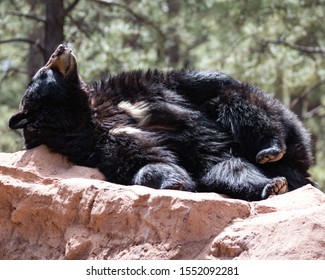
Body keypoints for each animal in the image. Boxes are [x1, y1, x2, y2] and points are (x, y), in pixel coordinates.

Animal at [8, 44, 316, 200]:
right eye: (43, 70)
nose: (62, 46)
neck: (86, 112)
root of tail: (297, 172)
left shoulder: (132, 91)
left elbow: (187, 81)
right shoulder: (100, 141)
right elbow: (142, 160)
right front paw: (175, 183)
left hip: (283, 132)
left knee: (244, 106)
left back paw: (271, 149)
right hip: (220, 160)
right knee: (229, 170)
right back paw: (271, 185)